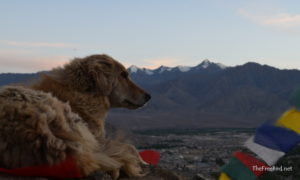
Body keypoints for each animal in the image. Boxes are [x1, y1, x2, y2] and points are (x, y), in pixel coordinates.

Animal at [0, 54, 151, 179]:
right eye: (123, 75)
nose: (148, 96)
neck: (84, 92)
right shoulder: (97, 138)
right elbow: (130, 147)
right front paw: (142, 161)